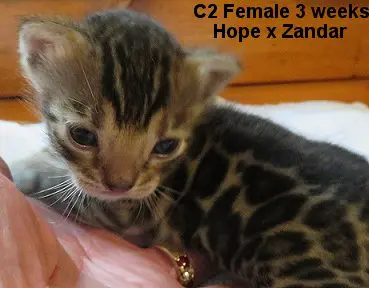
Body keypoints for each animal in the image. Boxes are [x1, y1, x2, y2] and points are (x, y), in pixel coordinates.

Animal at [12, 7, 369, 286]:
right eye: (82, 136)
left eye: (165, 146)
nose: (120, 185)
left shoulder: (123, 212)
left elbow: (55, 184)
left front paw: (21, 169)